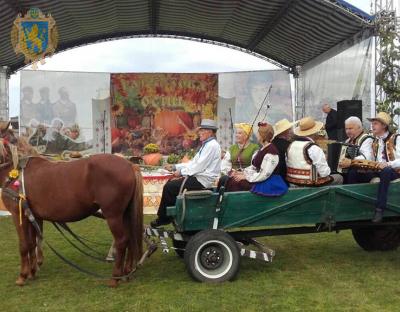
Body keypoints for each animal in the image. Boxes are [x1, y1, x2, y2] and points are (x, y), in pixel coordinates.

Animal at [0, 130, 144, 286]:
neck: (16, 172)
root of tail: (130, 165)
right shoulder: (32, 216)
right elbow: (33, 243)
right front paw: (32, 272)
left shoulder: (17, 214)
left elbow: (24, 245)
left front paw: (22, 276)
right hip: (125, 213)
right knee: (130, 238)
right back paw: (126, 272)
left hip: (113, 215)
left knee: (122, 241)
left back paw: (115, 278)